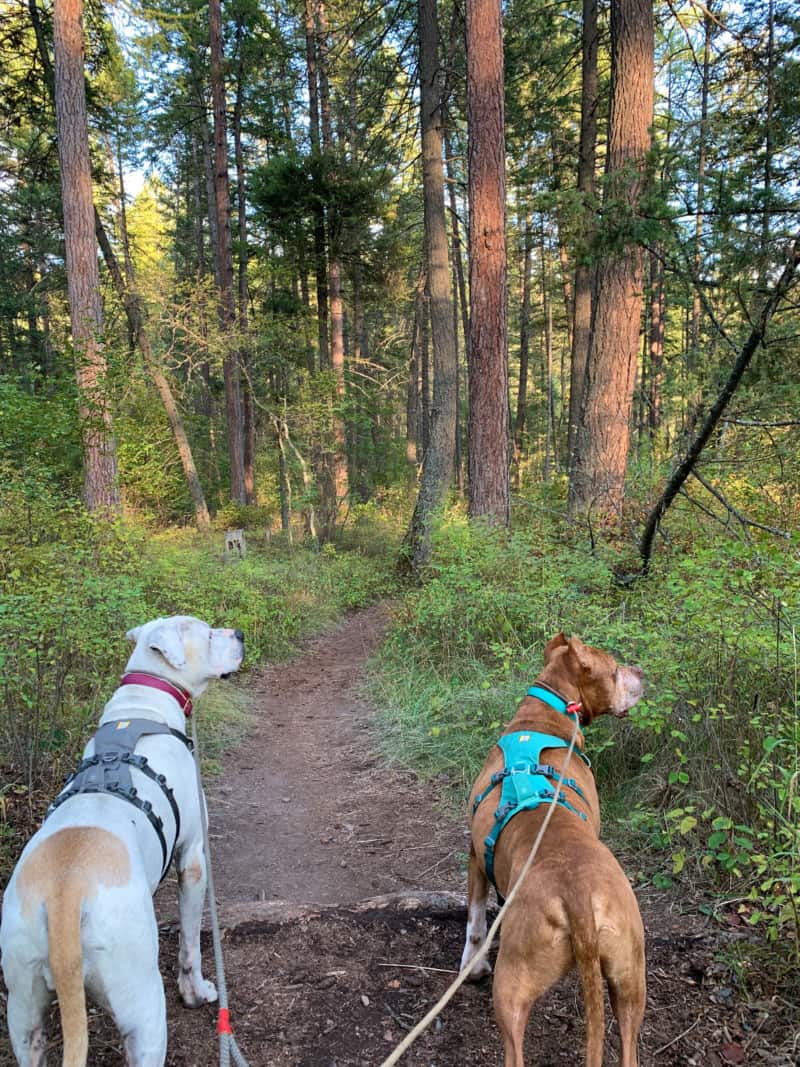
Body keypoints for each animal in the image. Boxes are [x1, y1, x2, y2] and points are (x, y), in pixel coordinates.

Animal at [0, 618, 244, 1067]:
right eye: (207, 634)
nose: (238, 634)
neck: (142, 705)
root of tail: (65, 895)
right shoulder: (193, 858)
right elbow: (190, 941)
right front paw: (196, 992)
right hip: (143, 1008)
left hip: (23, 1011)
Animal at [460, 631, 648, 1067]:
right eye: (615, 670)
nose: (643, 670)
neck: (545, 715)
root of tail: (578, 896)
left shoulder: (475, 855)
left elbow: (475, 922)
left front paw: (472, 966)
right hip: (630, 976)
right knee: (629, 1044)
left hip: (512, 984)